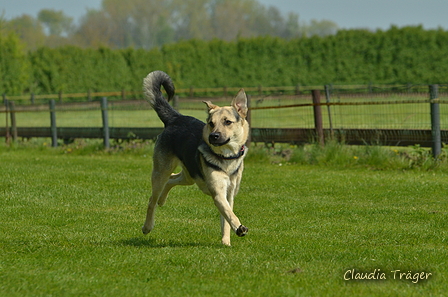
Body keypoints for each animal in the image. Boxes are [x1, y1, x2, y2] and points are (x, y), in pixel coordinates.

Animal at [142, 70, 248, 245]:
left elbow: (226, 217)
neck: (226, 158)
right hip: (161, 171)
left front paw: (226, 241)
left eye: (227, 122)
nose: (213, 136)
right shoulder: (218, 193)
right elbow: (229, 214)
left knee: (171, 179)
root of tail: (175, 117)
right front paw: (239, 228)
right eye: (211, 123)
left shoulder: (229, 193)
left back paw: (162, 200)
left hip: (190, 176)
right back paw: (147, 226)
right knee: (152, 199)